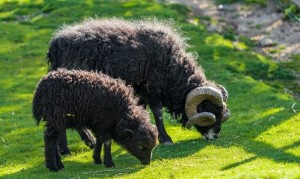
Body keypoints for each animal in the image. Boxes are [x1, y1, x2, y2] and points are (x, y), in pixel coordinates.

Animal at [47, 17, 230, 150]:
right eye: (210, 110)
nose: (215, 136)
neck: (172, 68)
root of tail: (55, 44)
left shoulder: (139, 89)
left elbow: (142, 110)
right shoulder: (152, 87)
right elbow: (157, 112)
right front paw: (165, 139)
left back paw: (71, 147)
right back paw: (77, 145)